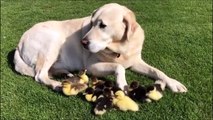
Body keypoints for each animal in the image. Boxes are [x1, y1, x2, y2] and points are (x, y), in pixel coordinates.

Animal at [13, 3, 186, 93]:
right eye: (91, 23)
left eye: (102, 25)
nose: (83, 42)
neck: (121, 48)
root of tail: (19, 42)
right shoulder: (92, 66)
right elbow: (119, 67)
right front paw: (122, 84)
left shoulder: (135, 61)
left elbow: (157, 71)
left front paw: (173, 83)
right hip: (53, 41)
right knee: (39, 75)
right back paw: (56, 84)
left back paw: (65, 74)